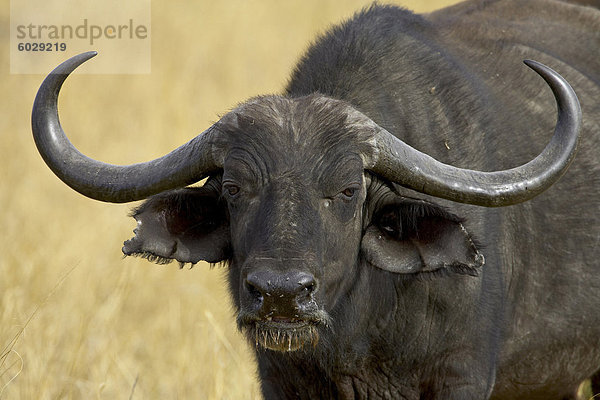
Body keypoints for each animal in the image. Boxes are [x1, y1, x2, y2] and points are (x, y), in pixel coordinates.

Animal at [32, 0, 600, 400]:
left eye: (348, 191)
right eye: (235, 189)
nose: (281, 295)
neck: (362, 334)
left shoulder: (462, 374)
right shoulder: (278, 377)